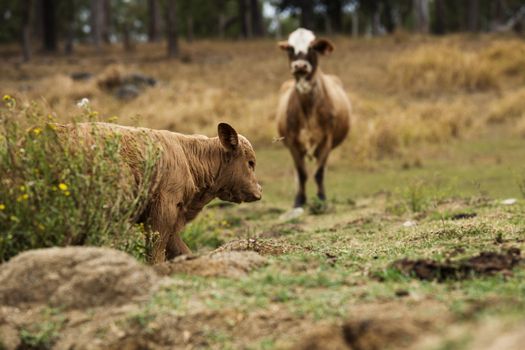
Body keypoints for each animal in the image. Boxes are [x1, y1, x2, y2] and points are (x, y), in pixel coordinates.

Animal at [274, 29, 352, 208]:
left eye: (313, 48)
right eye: (291, 48)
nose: (300, 66)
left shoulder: (326, 141)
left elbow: (319, 173)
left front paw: (322, 199)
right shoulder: (293, 143)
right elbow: (302, 173)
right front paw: (299, 200)